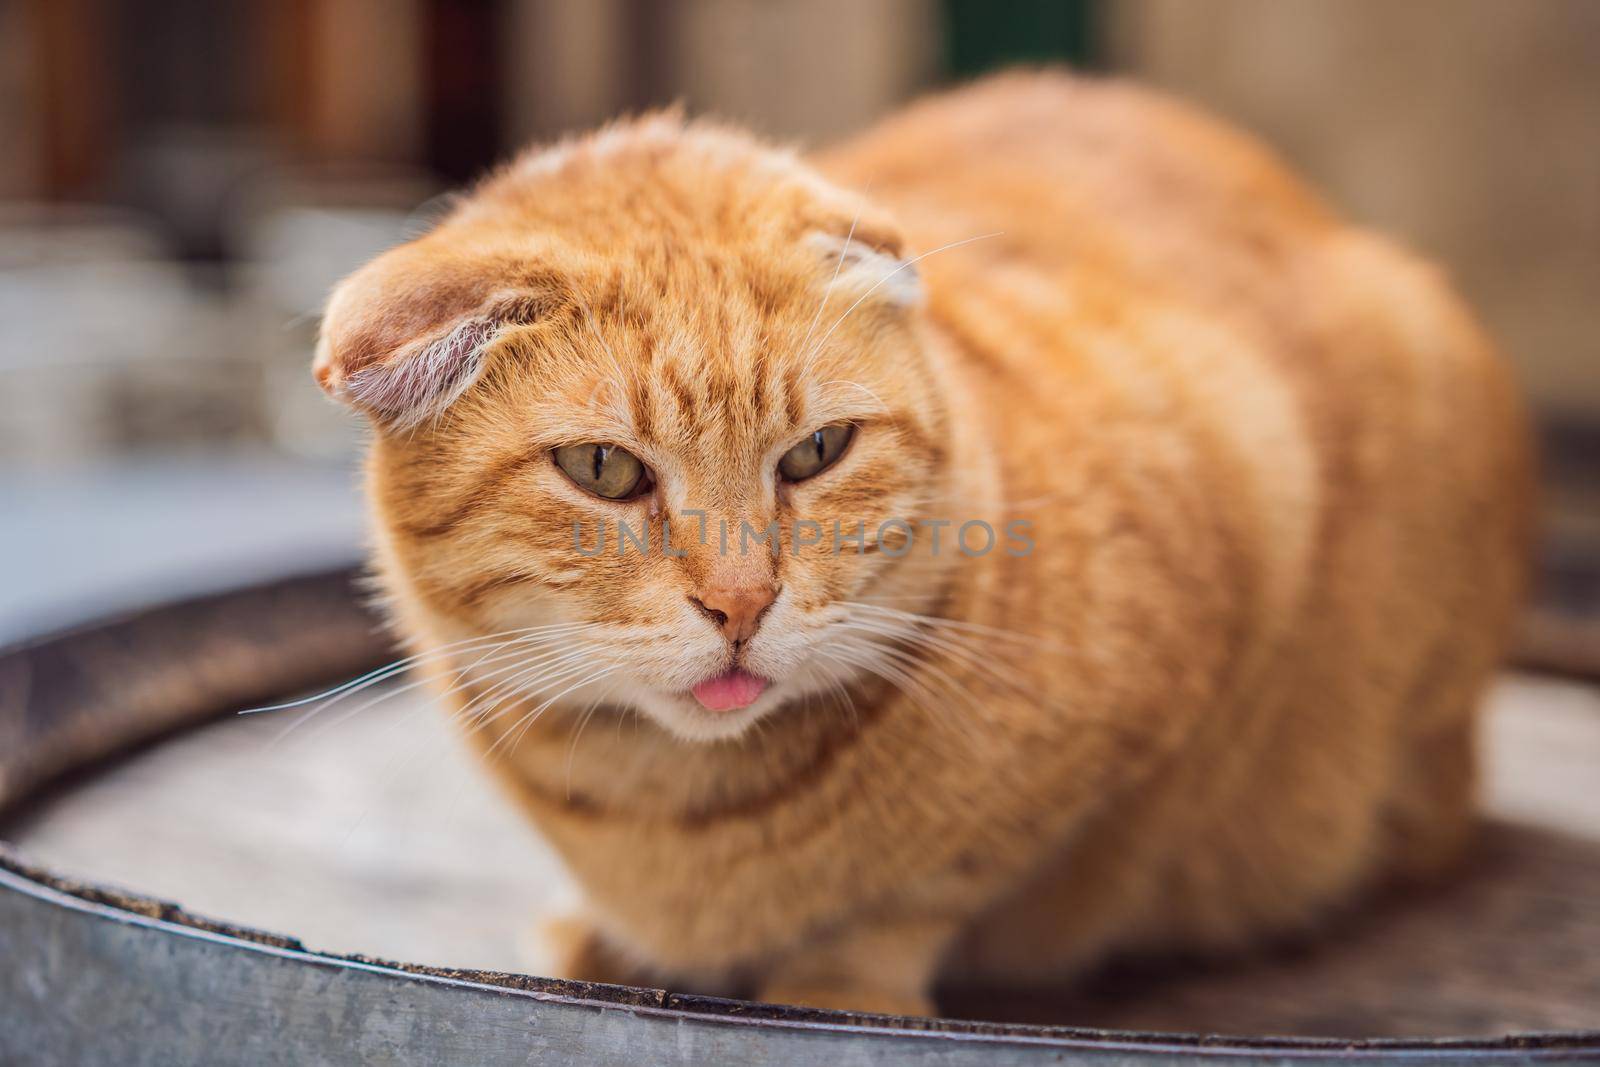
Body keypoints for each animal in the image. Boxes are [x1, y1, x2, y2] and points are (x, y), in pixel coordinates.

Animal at [315, 75, 1536, 1017]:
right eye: (605, 471)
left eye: (817, 452)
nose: (741, 602)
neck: (673, 815)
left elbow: (915, 896)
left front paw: (833, 992)